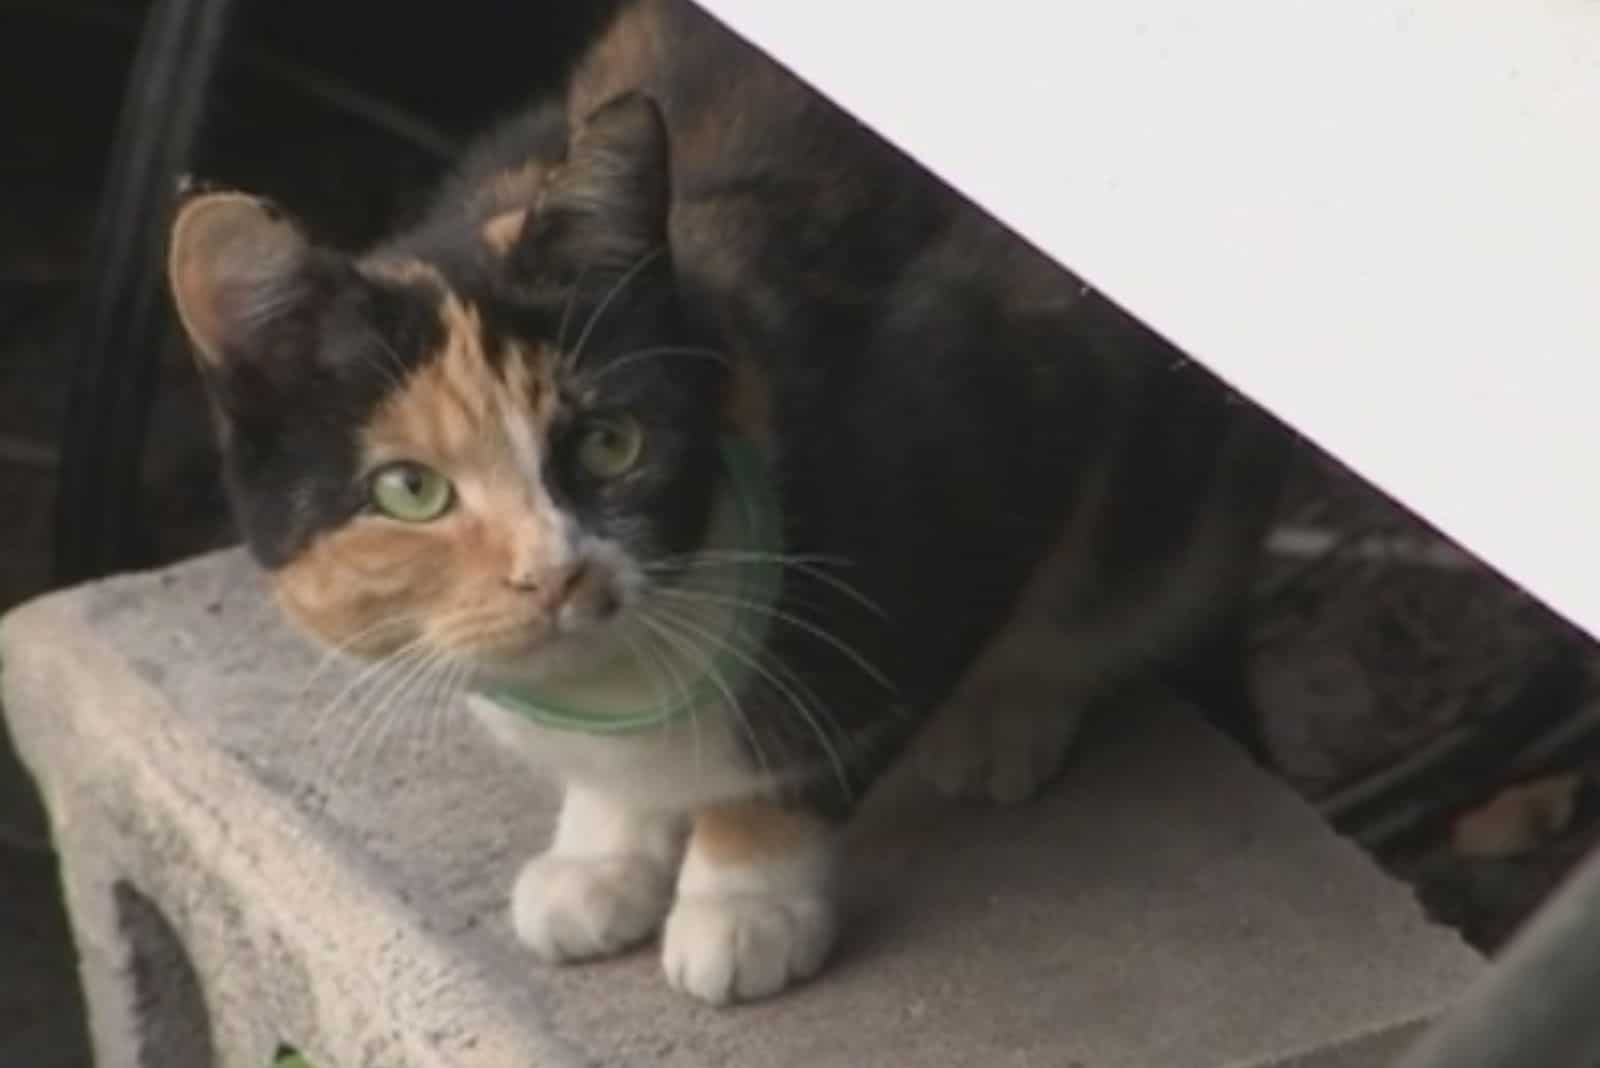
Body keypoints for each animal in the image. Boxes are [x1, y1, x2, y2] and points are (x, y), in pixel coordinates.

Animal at [165, 0, 1286, 1004]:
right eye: (409, 489)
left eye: (611, 441)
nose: (556, 573)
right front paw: (603, 856)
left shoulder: (988, 407)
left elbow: (821, 731)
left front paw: (743, 901)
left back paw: (1003, 719)